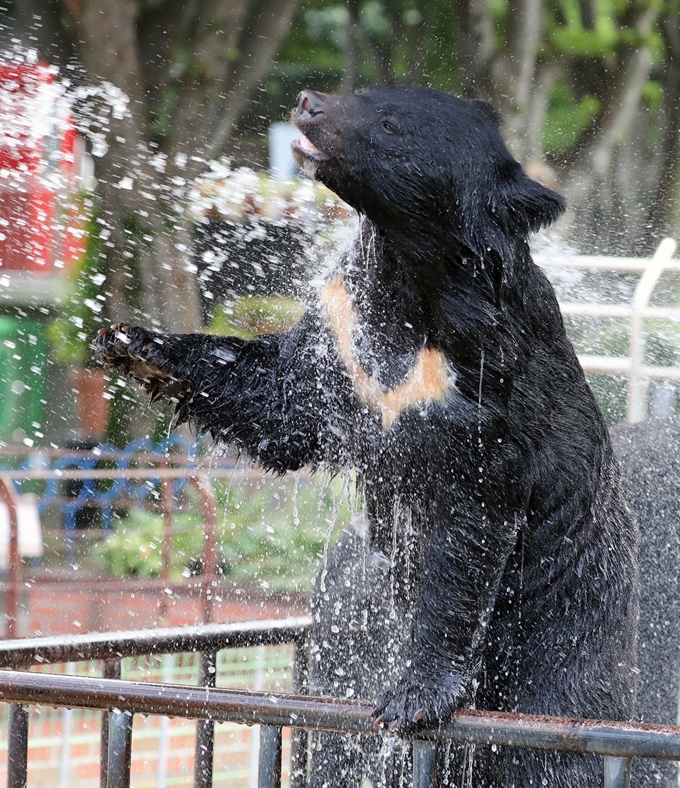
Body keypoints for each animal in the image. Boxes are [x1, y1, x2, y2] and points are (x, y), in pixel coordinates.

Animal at [93, 87, 640, 788]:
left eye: (389, 123)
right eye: (363, 93)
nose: (308, 103)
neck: (410, 276)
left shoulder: (487, 396)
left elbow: (466, 537)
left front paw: (413, 699)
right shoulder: (344, 337)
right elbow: (281, 403)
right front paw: (130, 341)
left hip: (562, 647)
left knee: (550, 745)